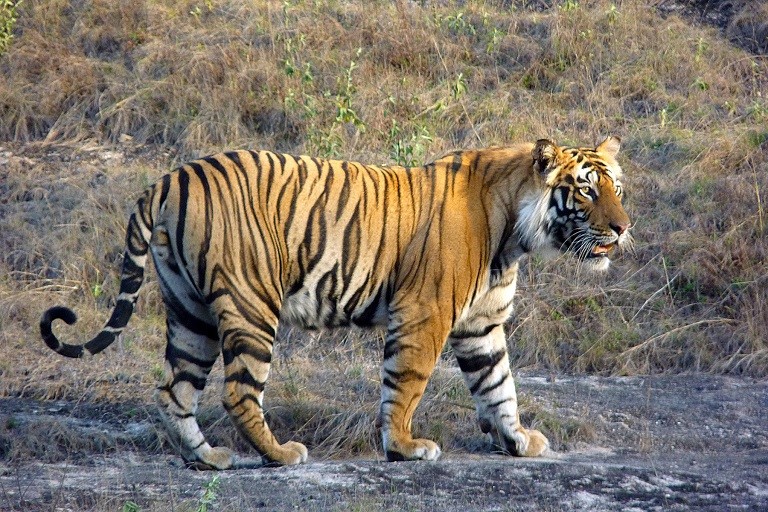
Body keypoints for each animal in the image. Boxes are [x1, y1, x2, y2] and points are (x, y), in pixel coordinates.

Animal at [40, 136, 631, 469]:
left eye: (616, 188)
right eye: (585, 190)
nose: (624, 228)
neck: (513, 235)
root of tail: (170, 178)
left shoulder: (481, 325)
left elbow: (498, 384)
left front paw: (517, 440)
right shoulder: (425, 314)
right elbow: (406, 384)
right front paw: (404, 447)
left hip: (190, 312)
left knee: (174, 390)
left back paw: (206, 459)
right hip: (252, 304)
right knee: (237, 391)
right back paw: (279, 456)